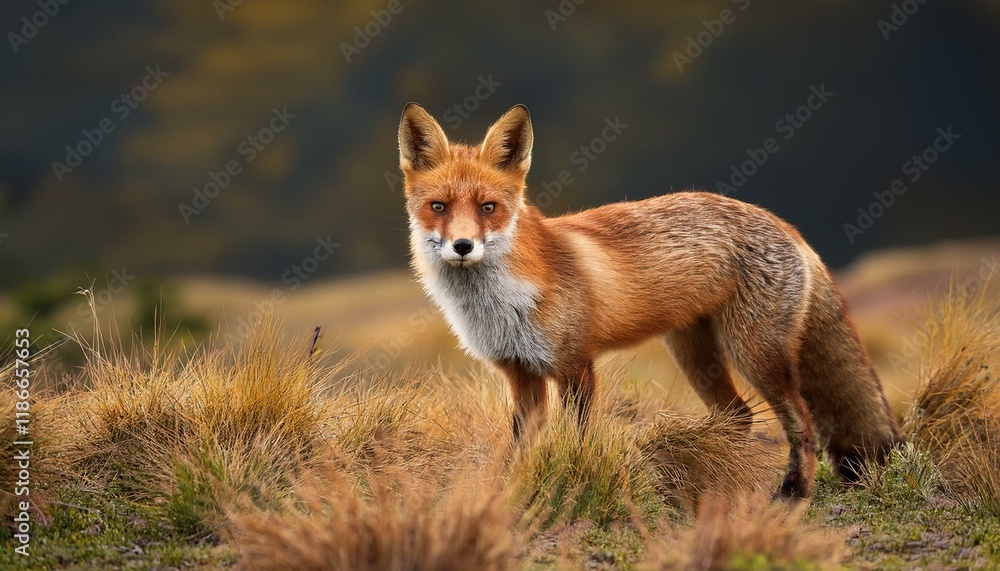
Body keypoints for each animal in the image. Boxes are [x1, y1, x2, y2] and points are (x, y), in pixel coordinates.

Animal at [397, 103, 903, 498]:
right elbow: (517, 449)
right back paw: (724, 481)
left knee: (801, 422)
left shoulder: (576, 366)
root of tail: (786, 224)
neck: (499, 305)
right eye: (439, 207)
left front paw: (573, 479)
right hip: (694, 355)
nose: (463, 246)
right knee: (738, 417)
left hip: (754, 354)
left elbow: (577, 441)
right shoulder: (521, 374)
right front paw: (506, 492)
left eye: (489, 208)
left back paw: (795, 491)